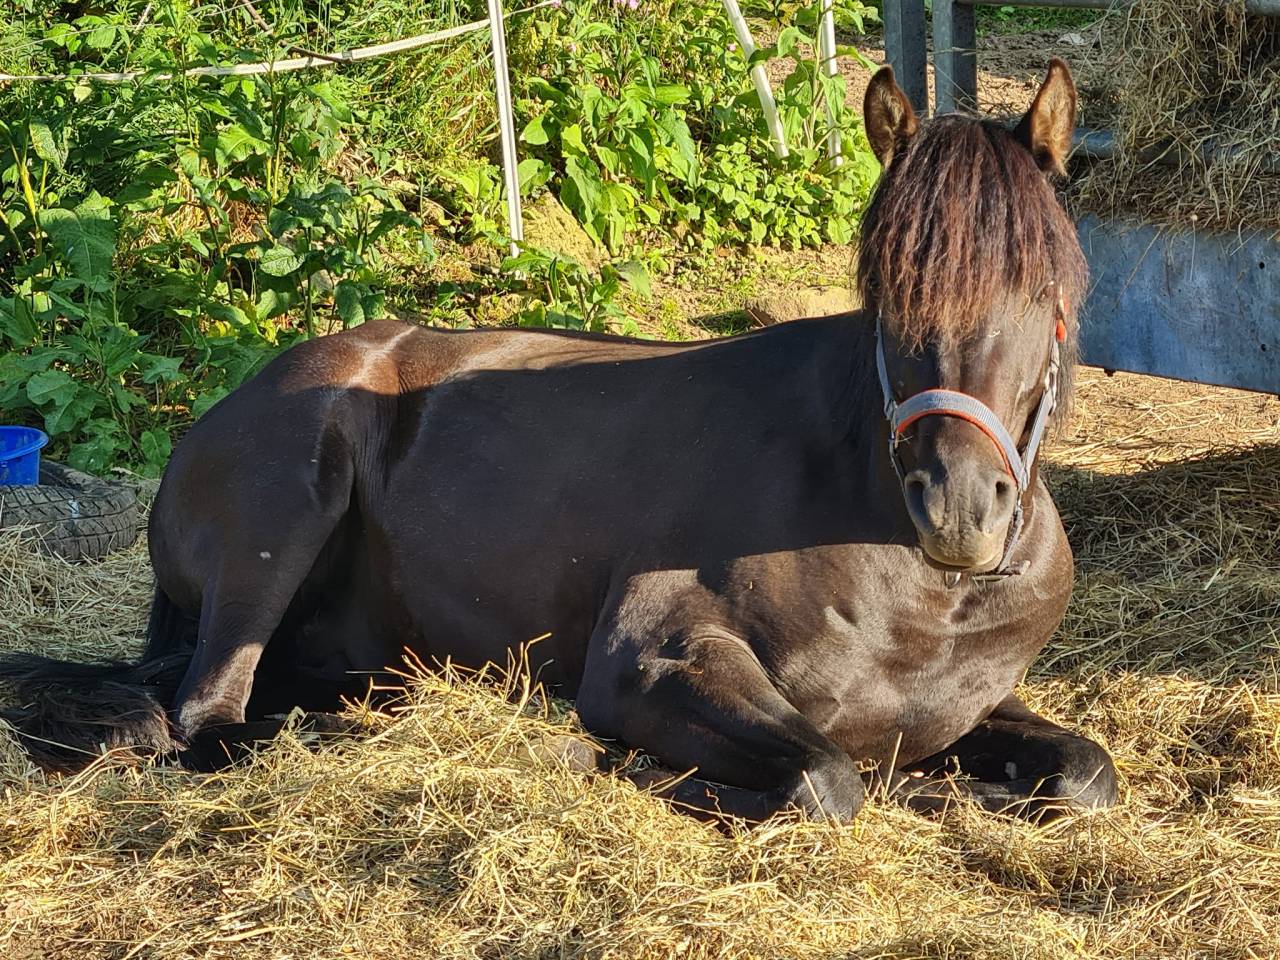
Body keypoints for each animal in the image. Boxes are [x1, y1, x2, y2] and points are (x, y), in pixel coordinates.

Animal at [1, 60, 1117, 822]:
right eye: (887, 291)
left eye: (1045, 292)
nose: (958, 509)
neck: (921, 584)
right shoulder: (655, 664)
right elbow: (825, 778)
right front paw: (619, 762)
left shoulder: (971, 707)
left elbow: (1084, 773)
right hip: (286, 505)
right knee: (209, 721)